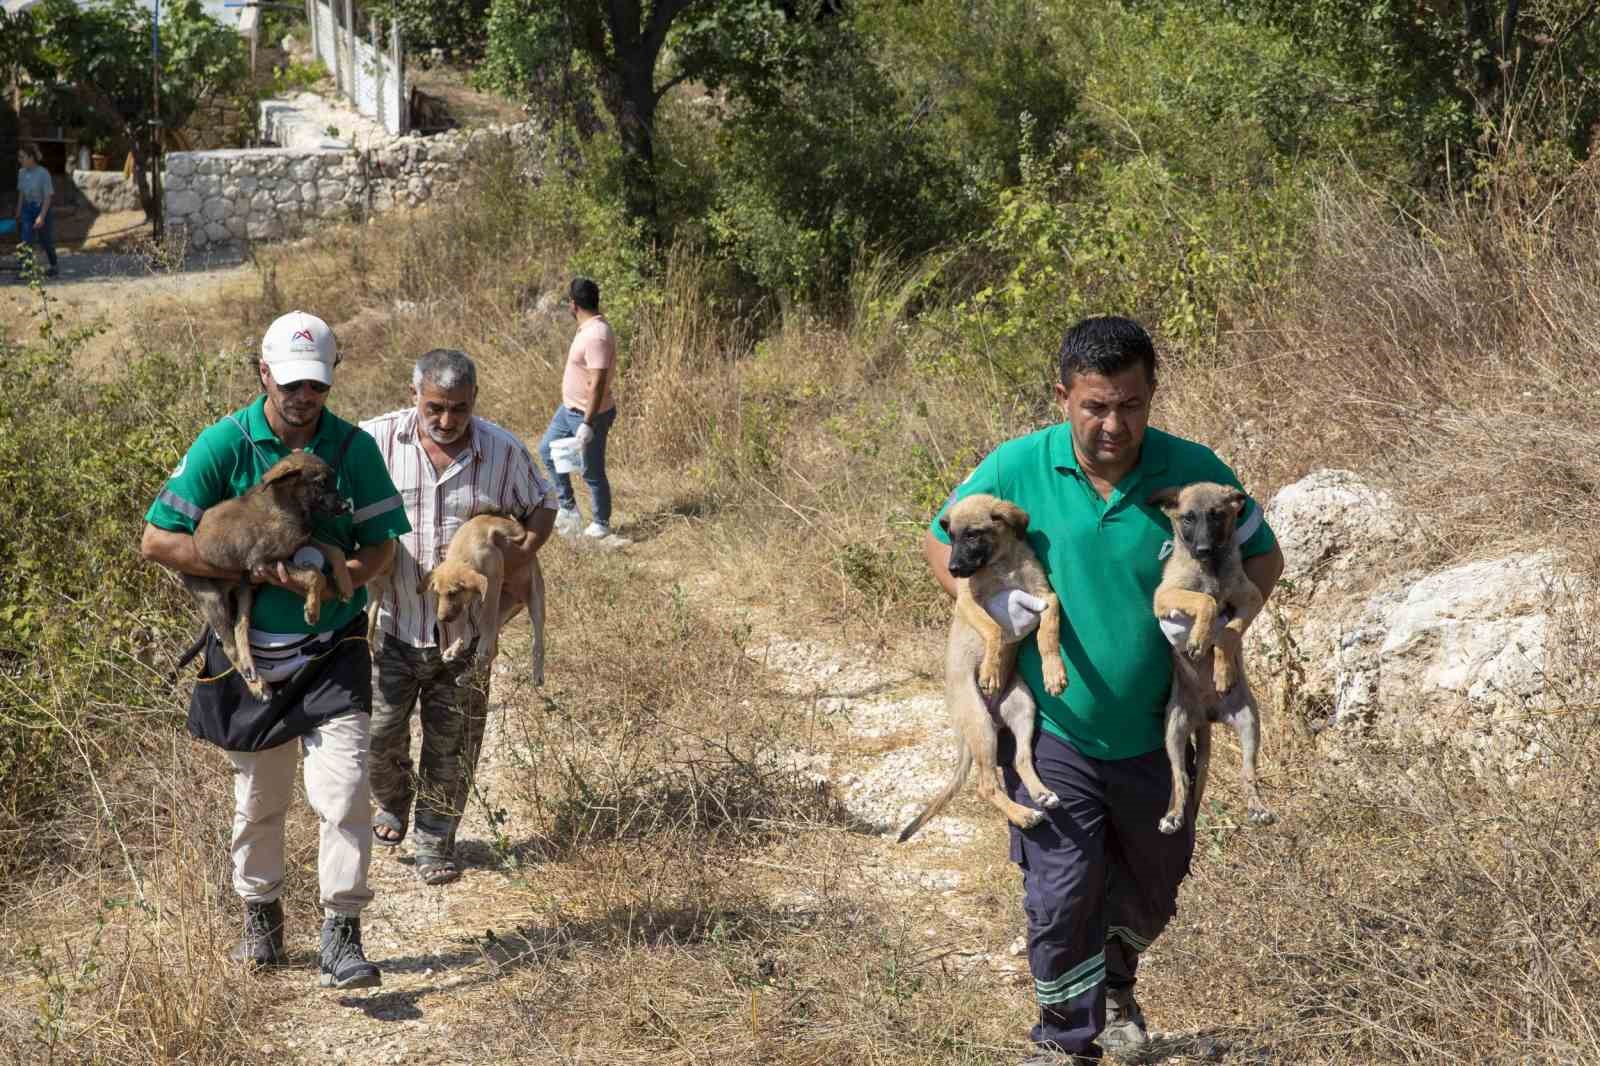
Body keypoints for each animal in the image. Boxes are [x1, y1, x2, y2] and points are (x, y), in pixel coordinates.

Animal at [183, 448, 355, 697]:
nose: (345, 507)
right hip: (212, 599)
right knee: (229, 646)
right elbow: (315, 575)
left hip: (245, 590)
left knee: (240, 628)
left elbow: (335, 551)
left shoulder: (302, 540)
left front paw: (345, 584)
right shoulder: (262, 562)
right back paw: (256, 686)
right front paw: (312, 610)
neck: (288, 505)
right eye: (322, 483)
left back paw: (252, 673)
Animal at [425, 512, 550, 681]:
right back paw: (466, 672)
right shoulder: (469, 600)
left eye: (453, 593)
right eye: (438, 593)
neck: (465, 548)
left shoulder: (492, 583)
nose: (442, 618)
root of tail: (518, 598)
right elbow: (463, 622)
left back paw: (538, 673)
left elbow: (484, 623)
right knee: (493, 647)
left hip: (534, 600)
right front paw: (456, 645)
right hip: (495, 610)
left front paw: (477, 648)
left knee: (537, 642)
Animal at [896, 492, 1068, 845]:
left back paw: (1041, 794)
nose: (953, 569)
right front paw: (990, 668)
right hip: (981, 725)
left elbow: (1048, 631)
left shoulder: (1046, 596)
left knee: (1020, 758)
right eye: (950, 536)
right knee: (985, 785)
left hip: (1022, 706)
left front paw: (1053, 671)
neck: (1002, 564)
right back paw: (1024, 814)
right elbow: (995, 628)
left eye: (973, 534)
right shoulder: (969, 601)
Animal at [1152, 476, 1273, 832]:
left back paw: (1258, 808)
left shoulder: (1250, 599)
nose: (1203, 549)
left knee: (1248, 772)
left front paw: (1221, 669)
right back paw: (1172, 815)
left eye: (1217, 515)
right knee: (1179, 778)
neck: (1212, 569)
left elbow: (1228, 633)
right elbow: (1204, 601)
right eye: (1188, 518)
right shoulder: (1164, 596)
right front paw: (1196, 639)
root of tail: (1206, 715)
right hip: (1174, 730)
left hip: (1250, 722)